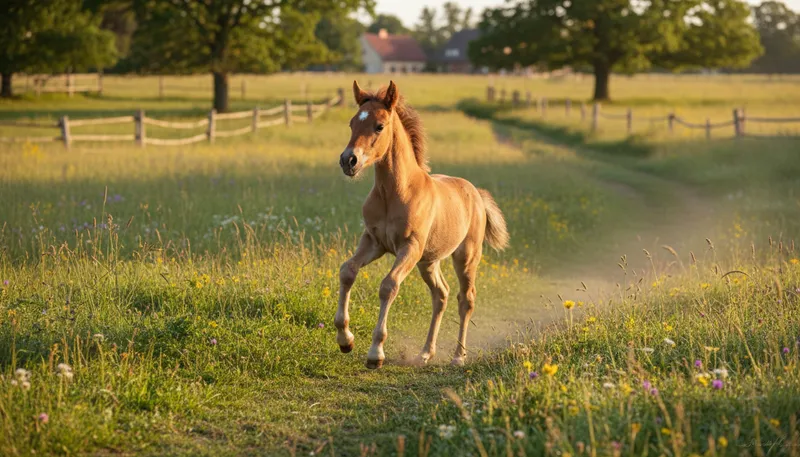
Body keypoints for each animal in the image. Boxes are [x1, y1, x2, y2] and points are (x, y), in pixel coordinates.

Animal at [334, 80, 509, 369]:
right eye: (351, 124)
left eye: (379, 126)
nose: (349, 161)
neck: (395, 193)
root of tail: (476, 193)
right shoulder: (373, 242)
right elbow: (347, 270)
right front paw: (345, 340)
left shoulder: (410, 247)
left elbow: (388, 286)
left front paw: (375, 353)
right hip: (429, 262)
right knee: (441, 295)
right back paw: (425, 353)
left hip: (466, 257)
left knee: (466, 299)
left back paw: (458, 356)